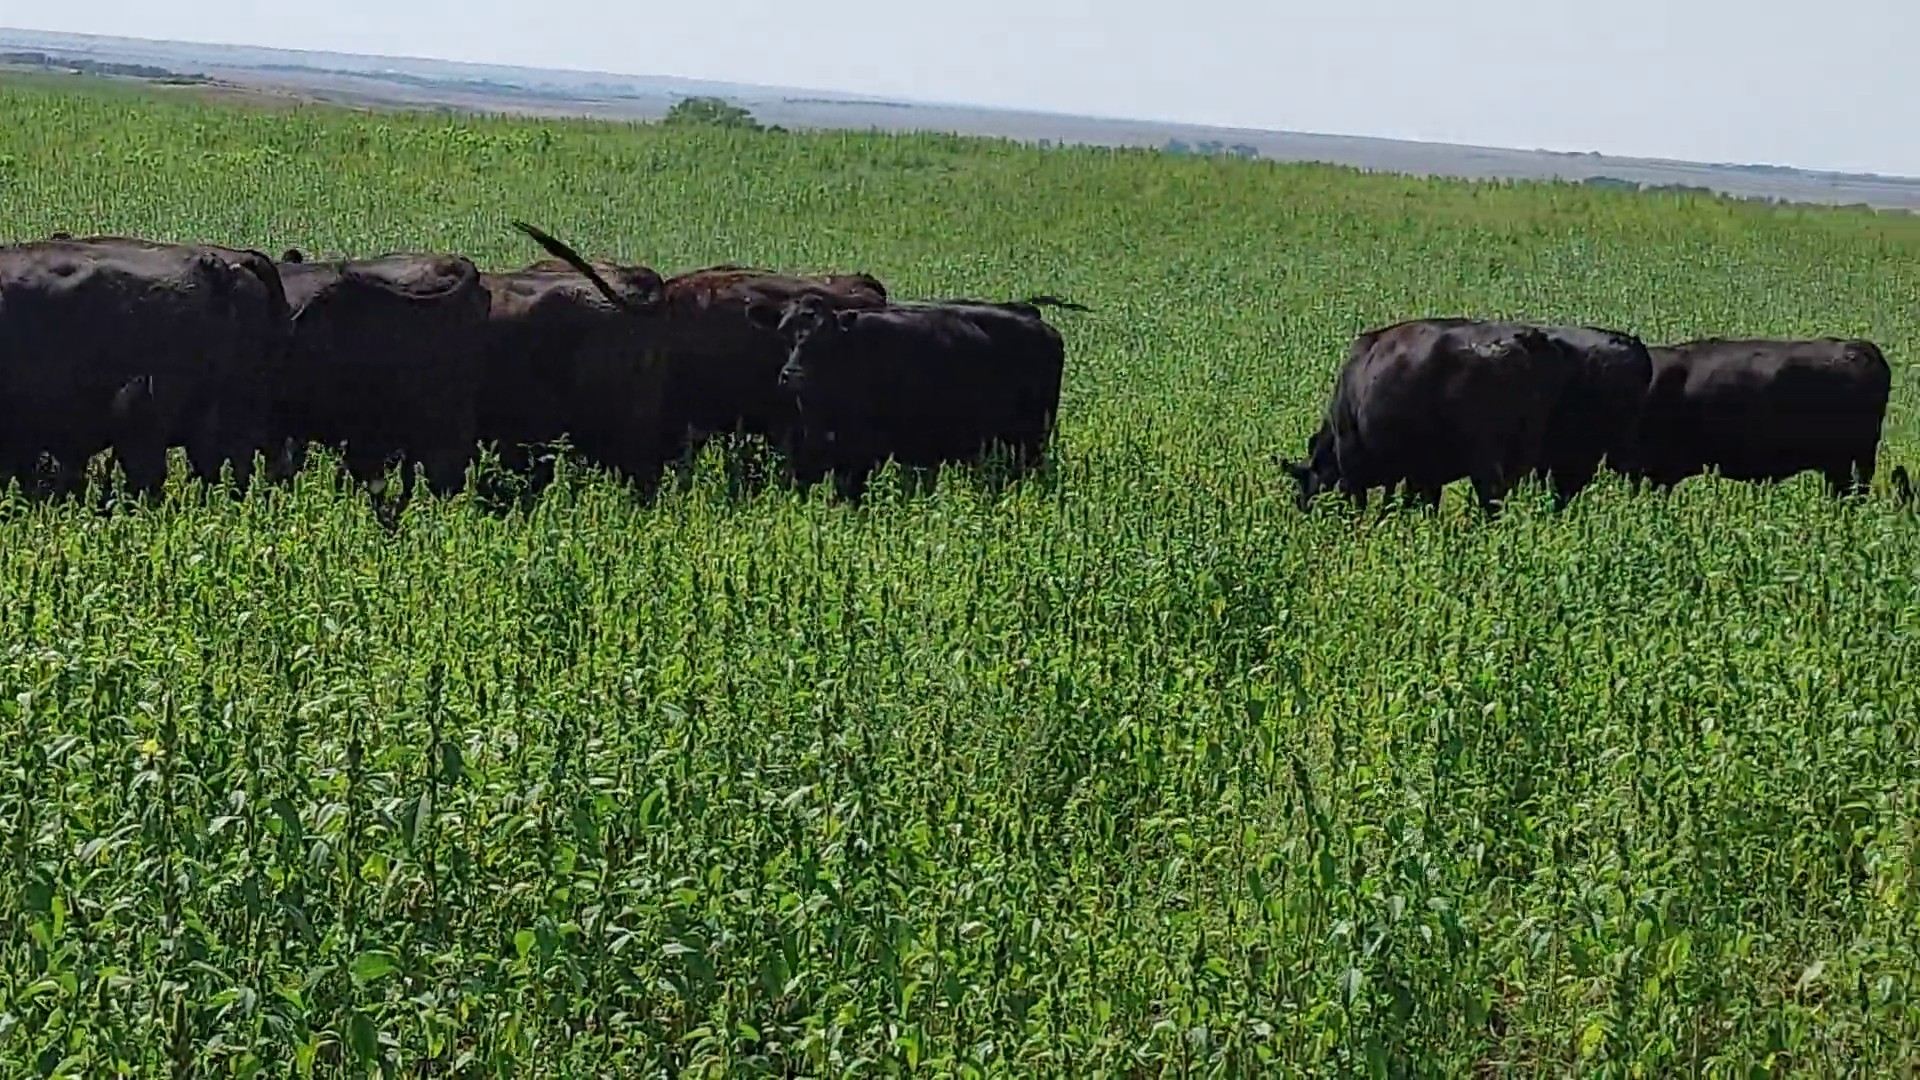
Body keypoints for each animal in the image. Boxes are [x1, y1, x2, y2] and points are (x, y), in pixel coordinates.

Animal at [741, 291, 1083, 500]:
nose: (792, 374)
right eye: (783, 332)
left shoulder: (862, 458)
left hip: (1031, 442)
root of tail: (1030, 314)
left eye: (824, 337)